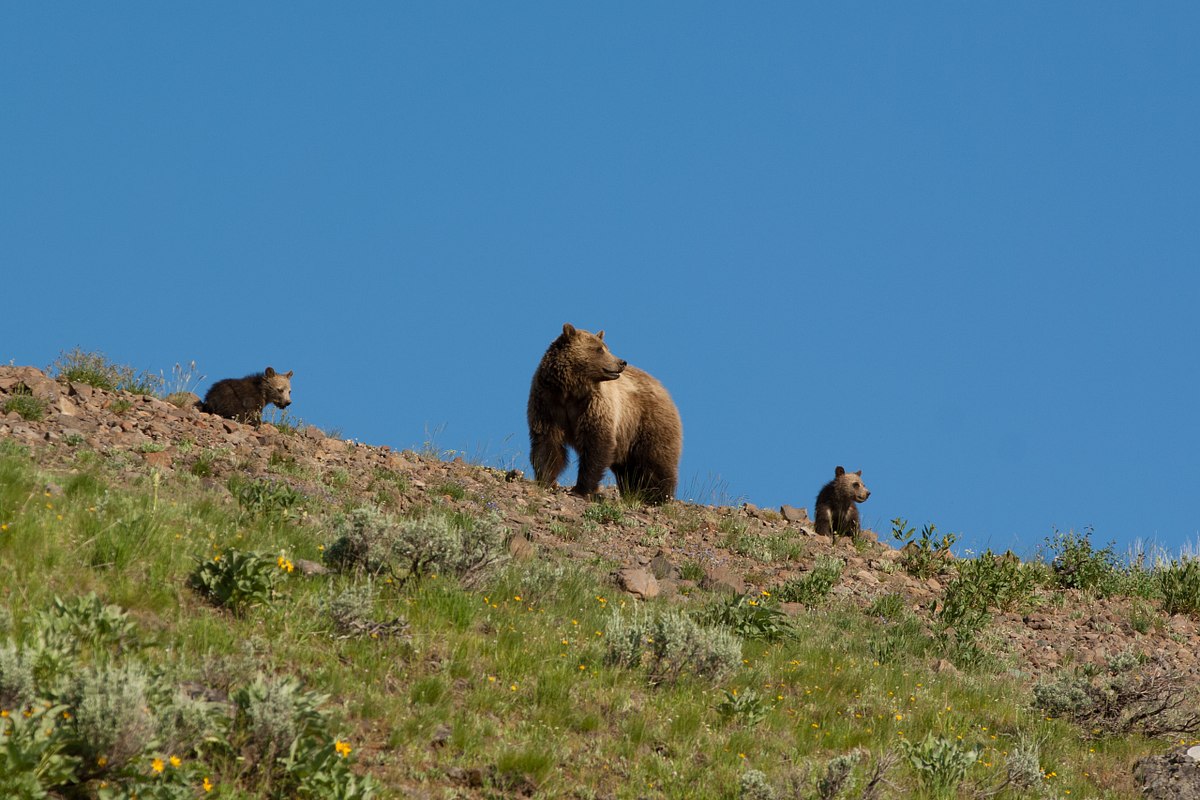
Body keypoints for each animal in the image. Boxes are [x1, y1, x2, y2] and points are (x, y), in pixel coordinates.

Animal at [527, 323, 683, 505]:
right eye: (599, 349)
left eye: (606, 347)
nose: (621, 362)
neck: (570, 391)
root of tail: (661, 386)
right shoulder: (548, 402)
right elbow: (547, 442)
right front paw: (546, 480)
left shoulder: (594, 405)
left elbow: (596, 443)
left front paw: (581, 489)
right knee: (629, 470)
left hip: (648, 421)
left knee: (657, 459)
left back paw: (658, 497)